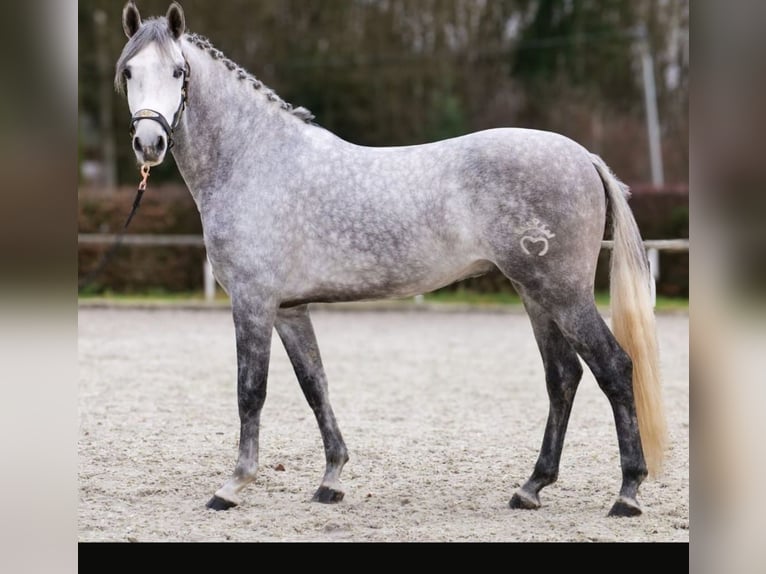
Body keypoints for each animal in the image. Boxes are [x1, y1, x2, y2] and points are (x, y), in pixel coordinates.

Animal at [114, 1, 667, 517]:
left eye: (178, 72)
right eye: (129, 72)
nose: (150, 142)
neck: (253, 161)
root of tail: (585, 158)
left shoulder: (253, 302)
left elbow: (251, 390)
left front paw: (233, 486)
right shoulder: (290, 309)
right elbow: (315, 385)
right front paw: (331, 479)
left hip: (563, 294)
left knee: (614, 367)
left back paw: (628, 492)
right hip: (535, 295)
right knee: (563, 378)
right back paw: (531, 488)